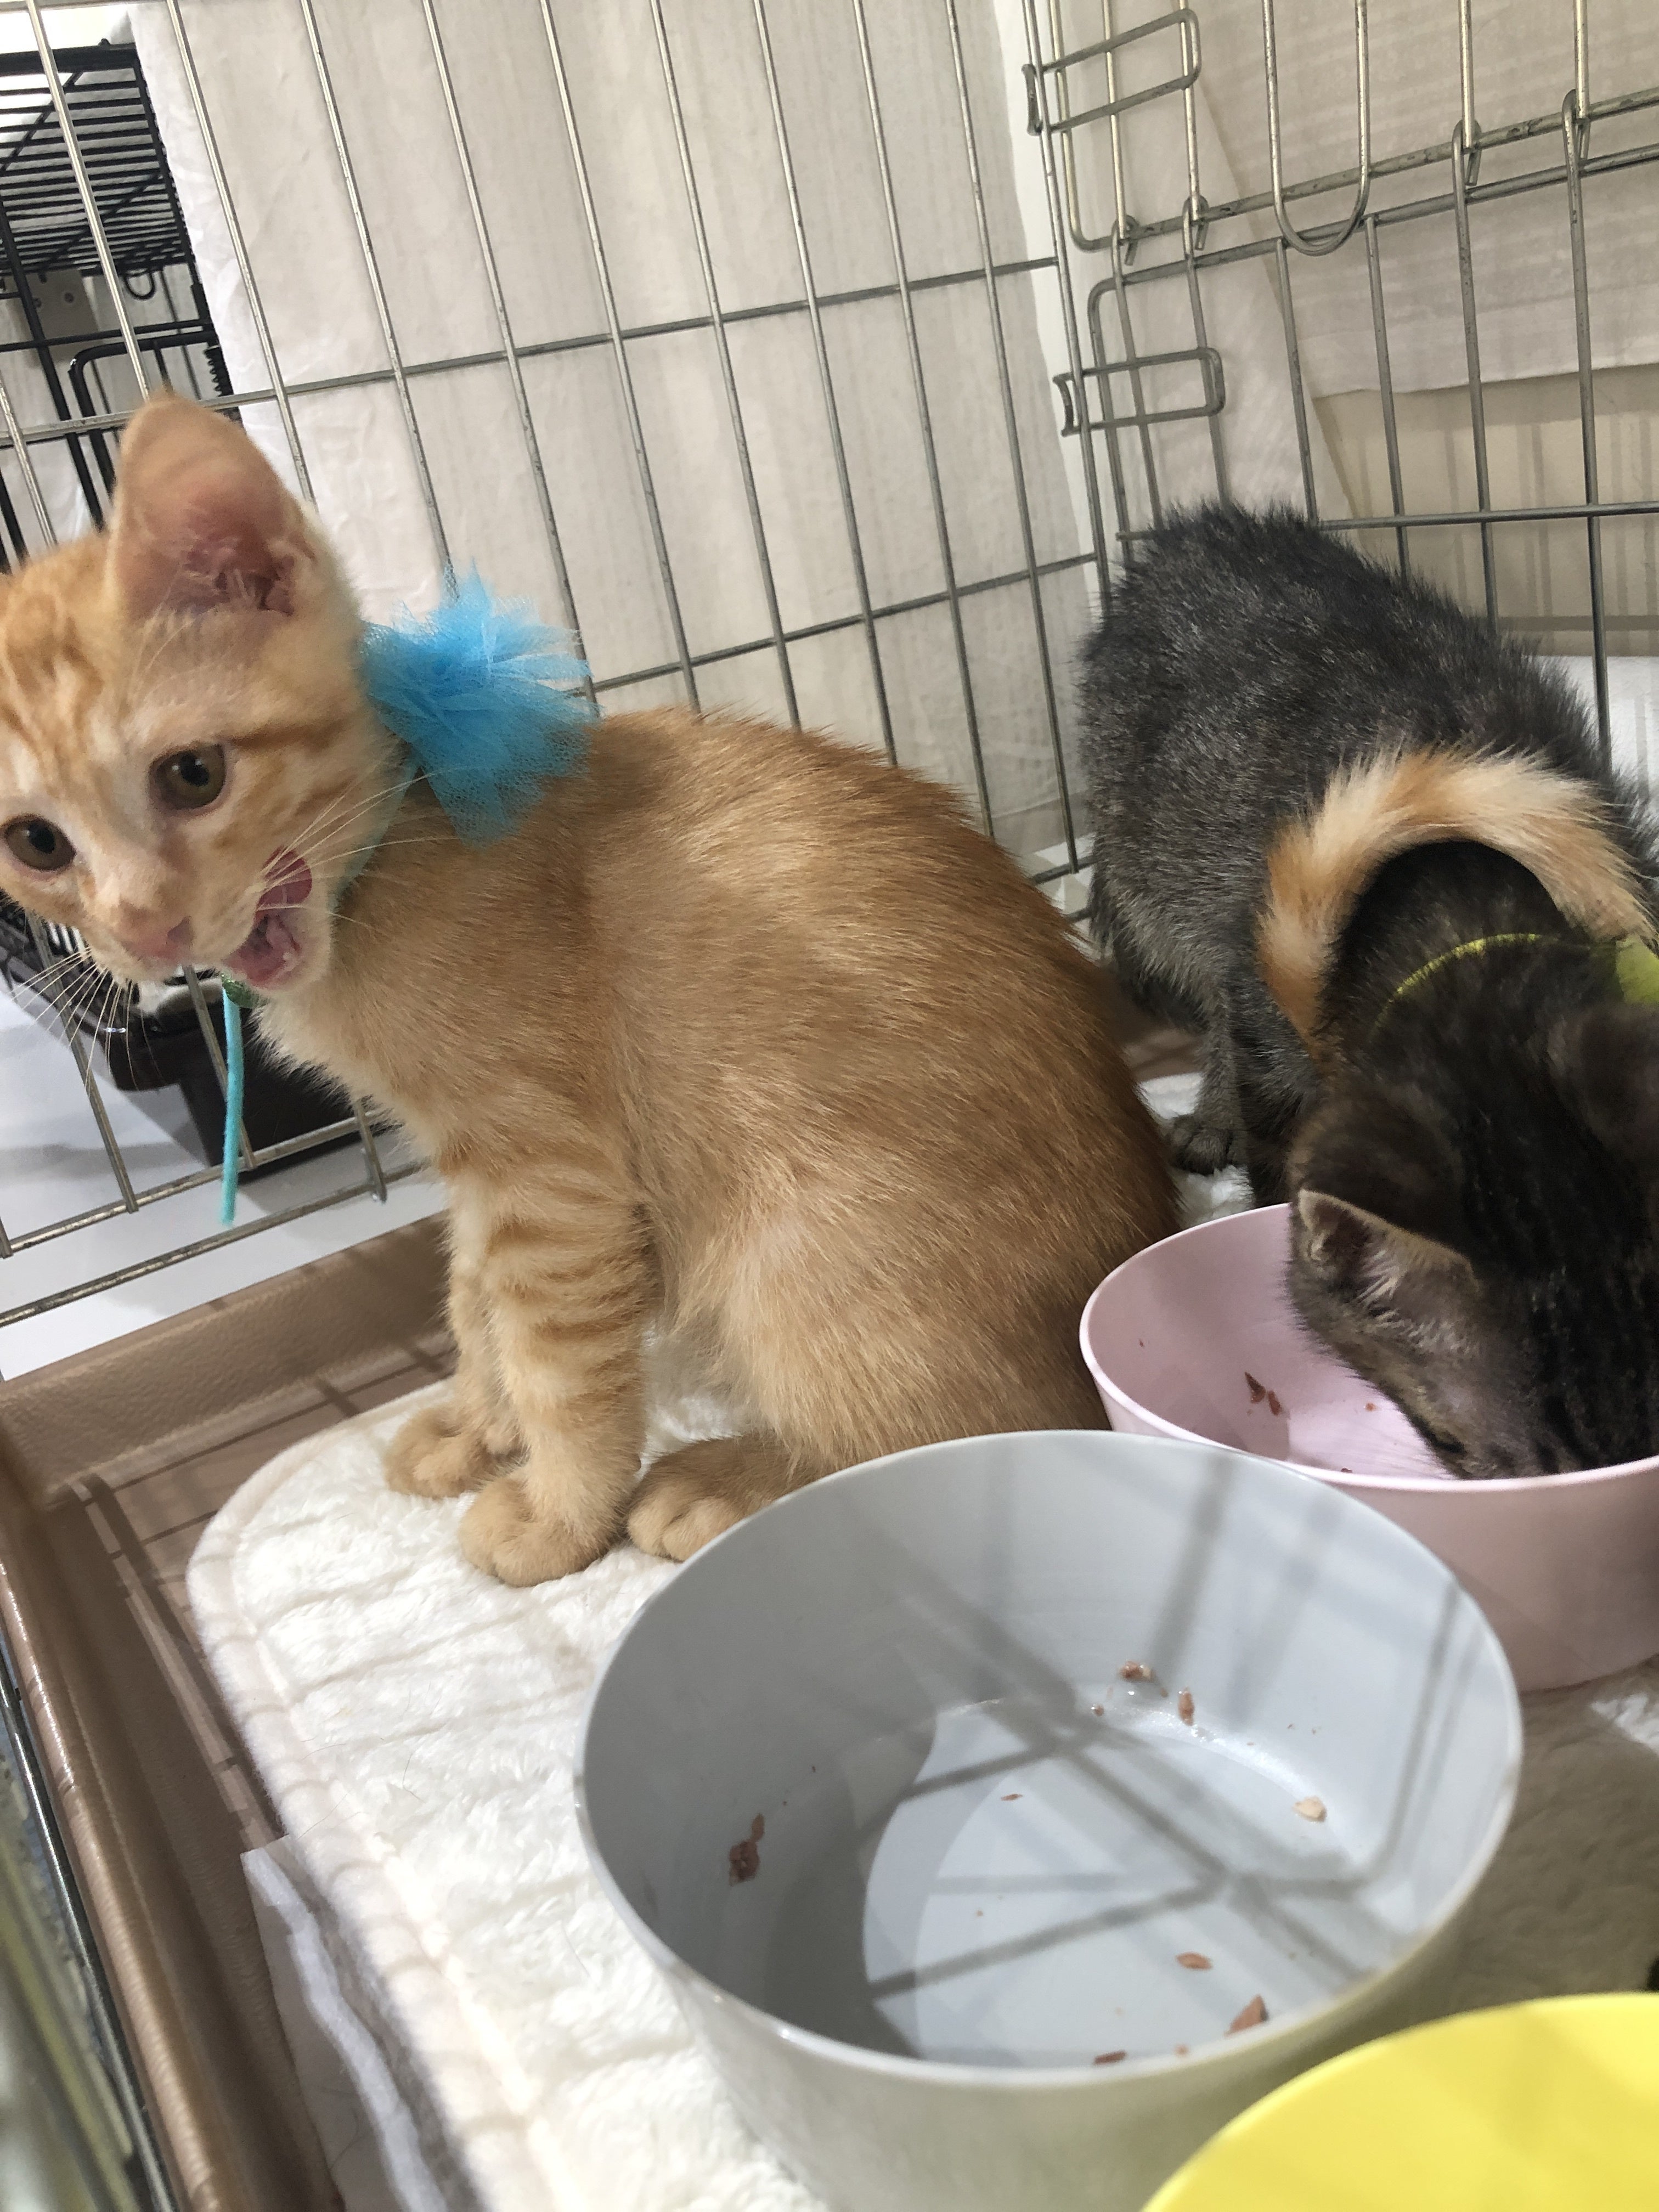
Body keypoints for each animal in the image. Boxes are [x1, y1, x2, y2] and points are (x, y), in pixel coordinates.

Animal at [0, 391, 1176, 1582]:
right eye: (35, 843)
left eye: (193, 775)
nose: (142, 928)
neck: (386, 860)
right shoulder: (479, 1174)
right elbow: (474, 1296)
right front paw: (479, 1421)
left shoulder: (551, 1173)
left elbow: (559, 1362)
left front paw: (560, 1512)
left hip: (810, 1255)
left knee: (968, 1437)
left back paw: (730, 1480)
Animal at [1081, 502, 1659, 1480]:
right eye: (1462, 1449)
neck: (1454, 891)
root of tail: (1197, 531)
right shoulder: (1267, 1011)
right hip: (1155, 883)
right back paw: (1211, 1113)